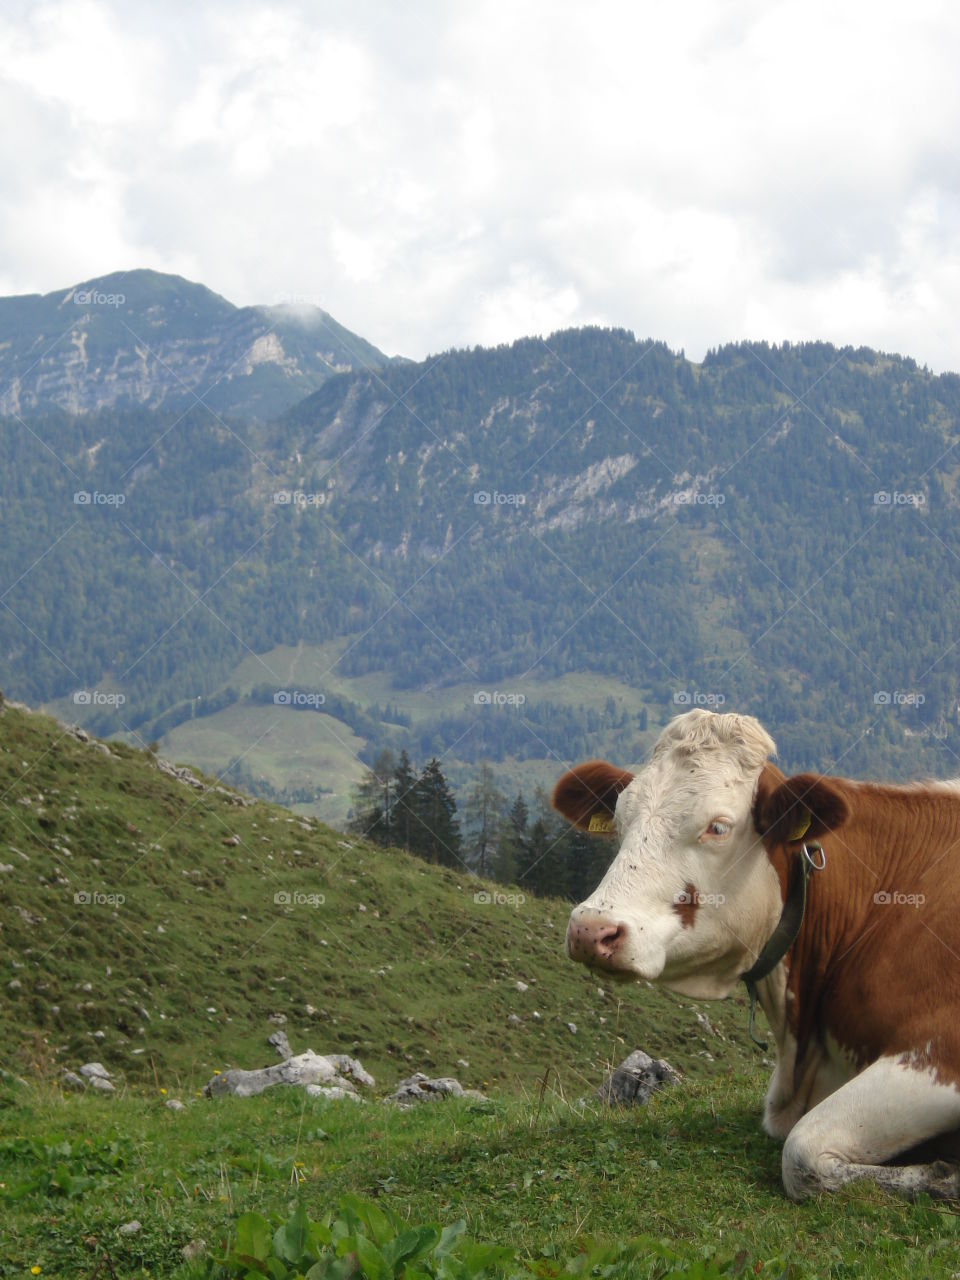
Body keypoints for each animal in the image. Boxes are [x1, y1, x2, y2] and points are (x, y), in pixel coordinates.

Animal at [552, 708, 960, 1201]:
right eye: (619, 818)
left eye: (718, 827)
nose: (590, 929)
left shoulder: (941, 1051)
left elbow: (801, 1153)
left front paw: (944, 1176)